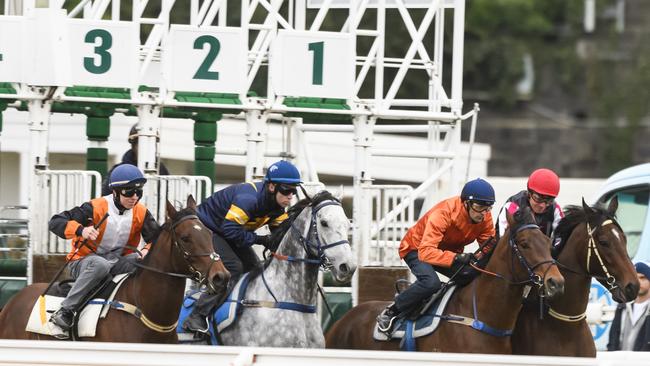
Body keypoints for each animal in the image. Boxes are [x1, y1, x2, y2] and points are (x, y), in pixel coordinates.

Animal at [0, 196, 229, 342]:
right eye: (185, 238)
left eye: (209, 233)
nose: (221, 277)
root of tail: (11, 303)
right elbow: (59, 218)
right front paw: (87, 231)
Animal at [326, 207, 564, 354]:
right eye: (524, 244)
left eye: (548, 241)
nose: (556, 282)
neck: (481, 317)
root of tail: (341, 320)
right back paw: (387, 317)